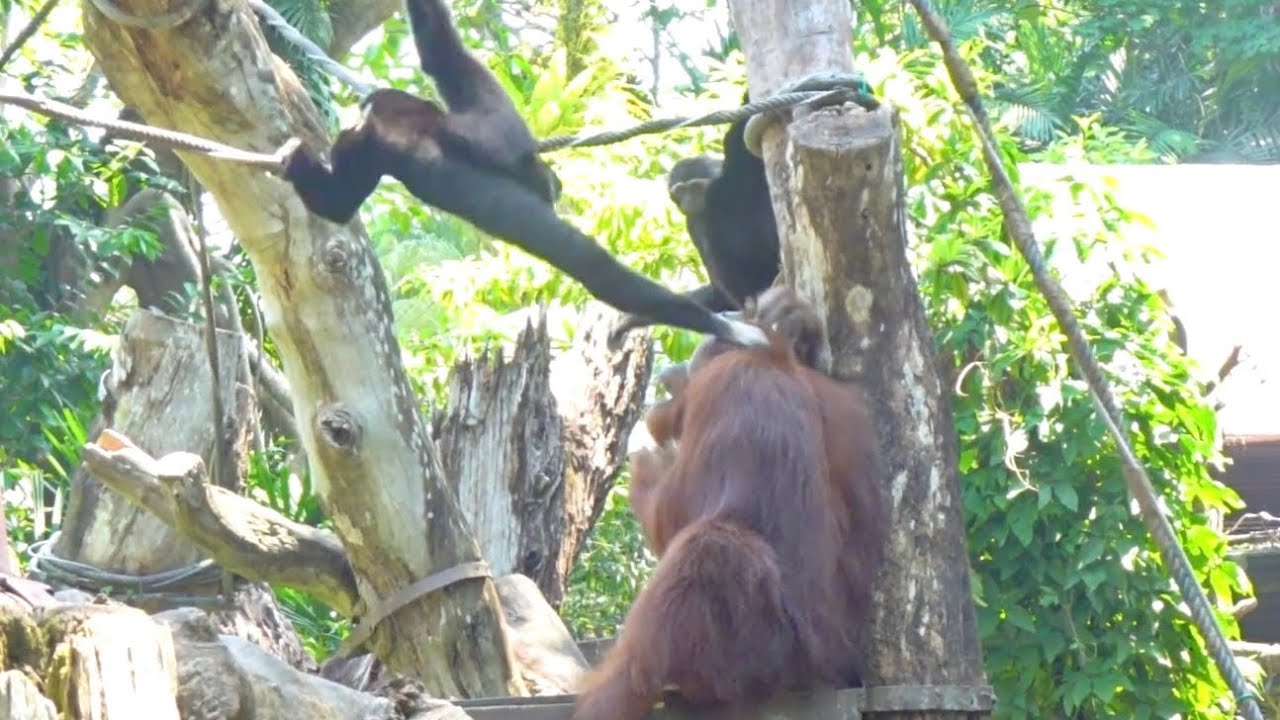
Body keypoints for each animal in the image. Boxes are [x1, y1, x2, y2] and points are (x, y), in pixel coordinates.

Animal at [278, 0, 767, 350]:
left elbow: (592, 268)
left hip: (490, 118)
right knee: (442, 54)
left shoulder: (360, 146)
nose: (552, 193)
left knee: (443, 59)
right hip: (492, 115)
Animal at [573, 288, 886, 720]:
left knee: (712, 545)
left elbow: (676, 512)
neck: (778, 360)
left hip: (765, 657)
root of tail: (834, 673)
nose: (672, 374)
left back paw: (621, 688)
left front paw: (650, 464)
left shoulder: (729, 382)